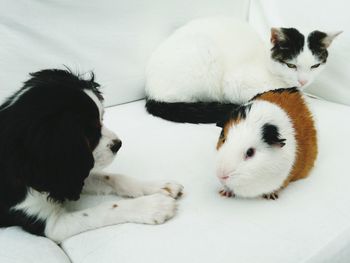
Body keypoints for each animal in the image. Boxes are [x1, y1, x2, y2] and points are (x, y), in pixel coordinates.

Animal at [0, 69, 185, 243]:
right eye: (90, 133)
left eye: (102, 120)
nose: (118, 144)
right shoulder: (51, 224)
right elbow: (104, 209)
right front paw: (153, 206)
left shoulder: (73, 173)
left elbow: (112, 177)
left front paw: (158, 186)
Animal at [146, 16, 342, 124]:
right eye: (291, 65)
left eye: (315, 66)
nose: (303, 81)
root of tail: (150, 92)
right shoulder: (234, 84)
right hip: (204, 55)